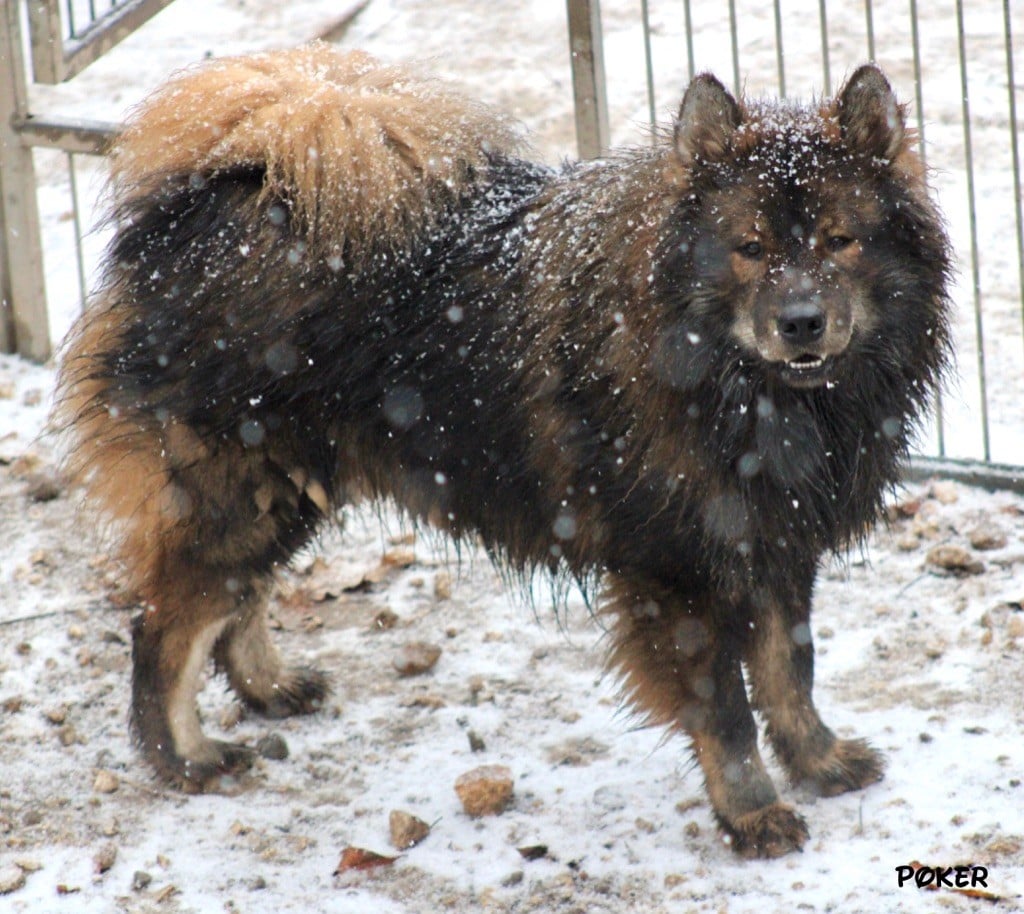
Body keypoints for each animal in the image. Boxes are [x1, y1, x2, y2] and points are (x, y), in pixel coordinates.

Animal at [56, 42, 950, 855]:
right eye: (752, 247)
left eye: (840, 240)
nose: (801, 322)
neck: (738, 388)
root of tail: (214, 201)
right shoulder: (680, 573)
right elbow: (727, 712)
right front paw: (753, 812)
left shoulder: (775, 542)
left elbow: (790, 671)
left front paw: (817, 758)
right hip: (243, 491)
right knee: (162, 627)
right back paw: (187, 758)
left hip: (292, 489)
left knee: (234, 602)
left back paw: (269, 687)